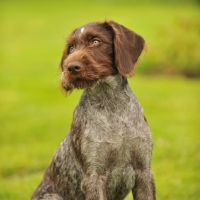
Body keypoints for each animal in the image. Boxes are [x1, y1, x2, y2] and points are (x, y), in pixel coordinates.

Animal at [31, 20, 156, 200]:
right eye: (71, 48)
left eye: (96, 41)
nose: (70, 67)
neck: (112, 105)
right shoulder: (94, 177)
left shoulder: (144, 171)